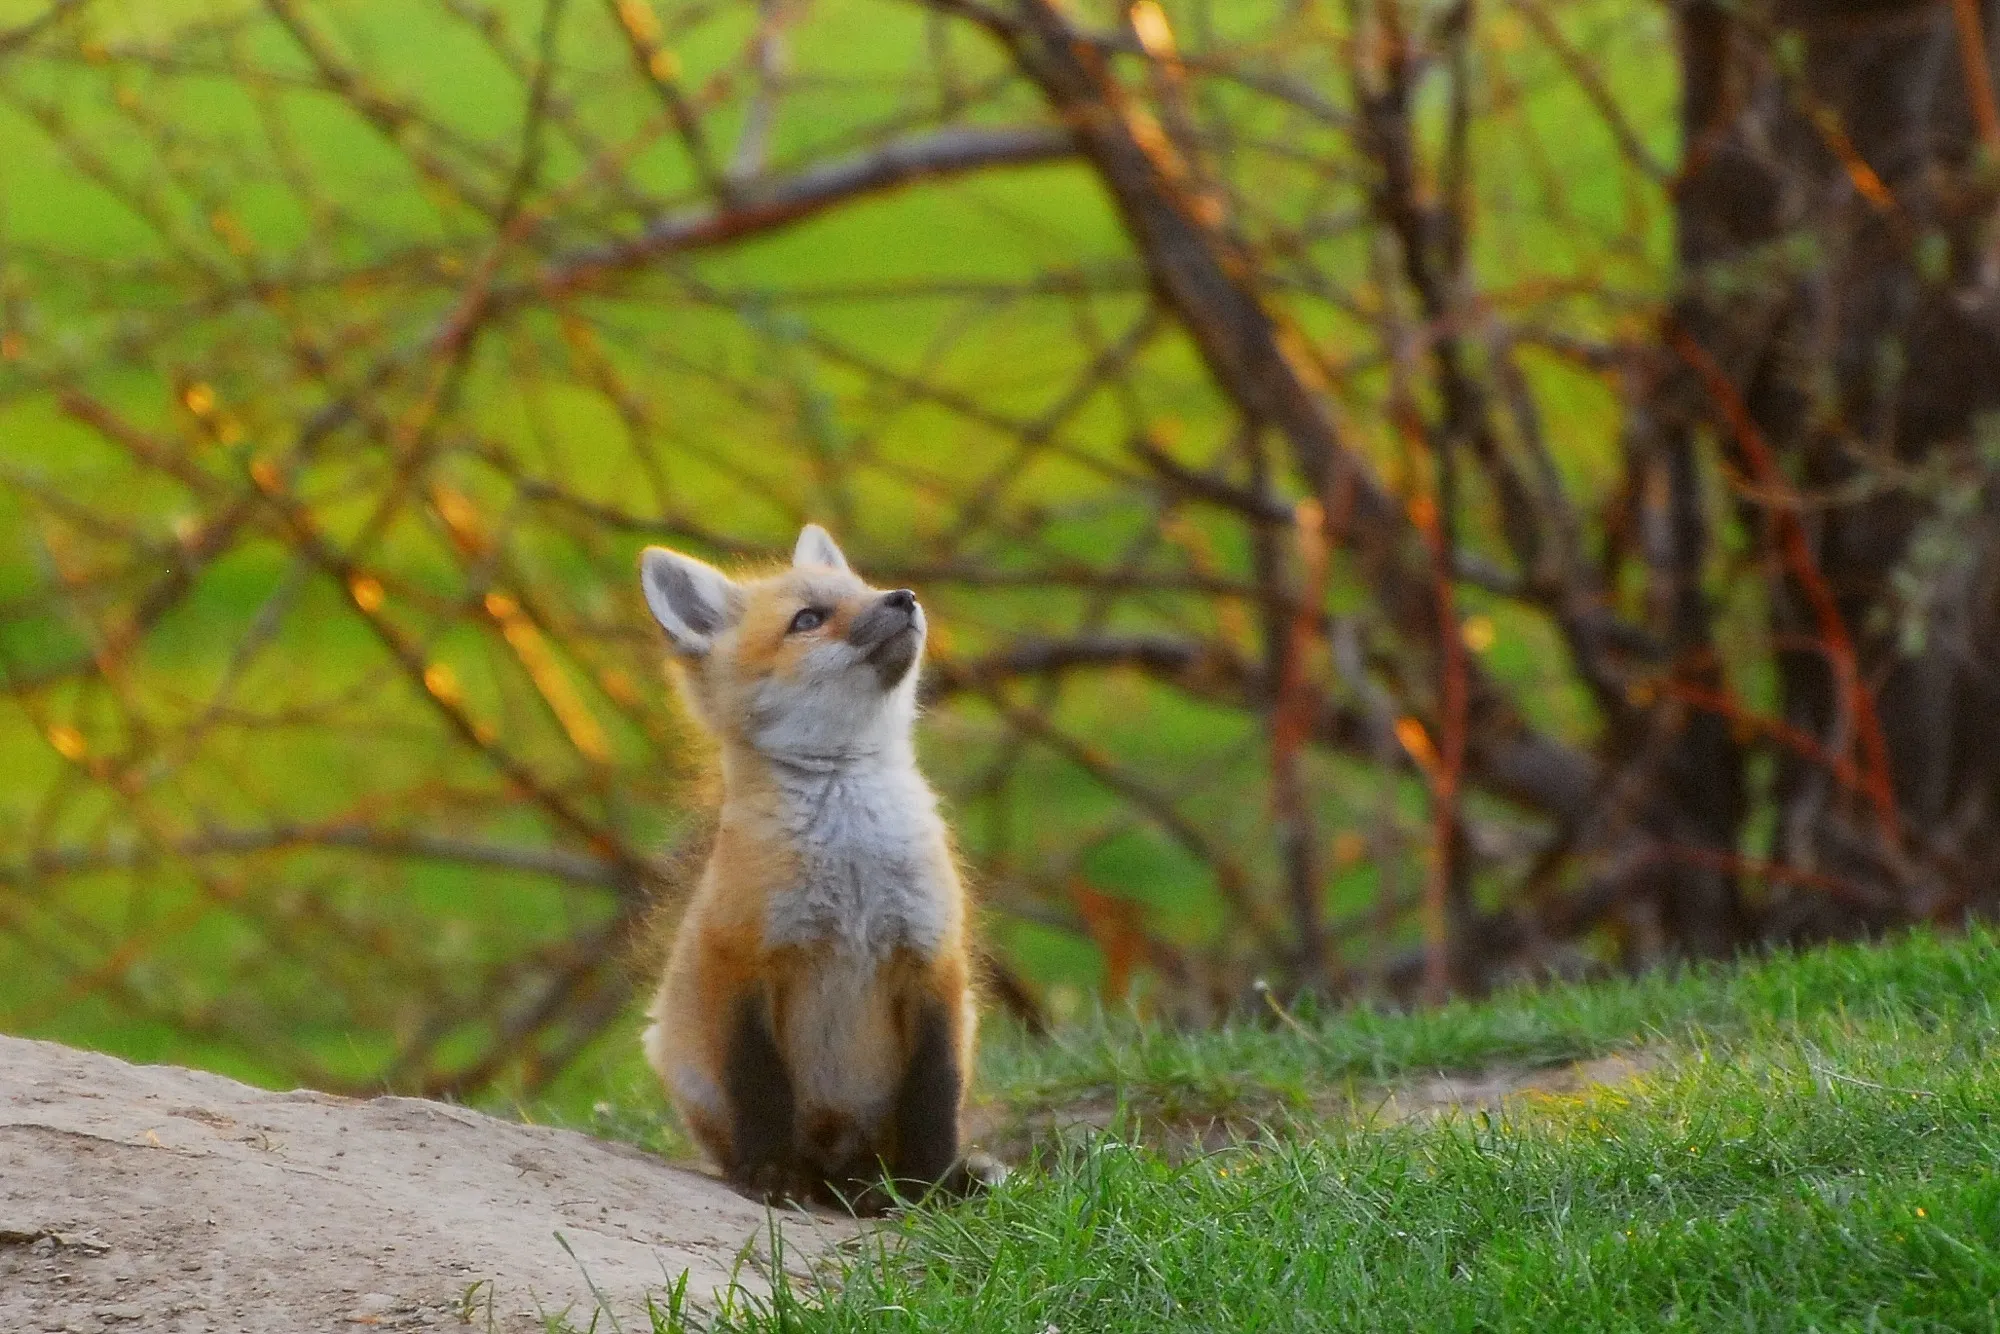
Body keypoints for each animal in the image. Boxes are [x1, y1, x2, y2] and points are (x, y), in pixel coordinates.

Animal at [636, 524, 991, 1211]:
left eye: (863, 588)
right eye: (808, 620)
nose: (904, 597)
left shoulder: (933, 962)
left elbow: (934, 1099)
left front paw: (927, 1190)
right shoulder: (744, 964)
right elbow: (761, 1090)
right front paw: (770, 1176)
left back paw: (894, 1188)